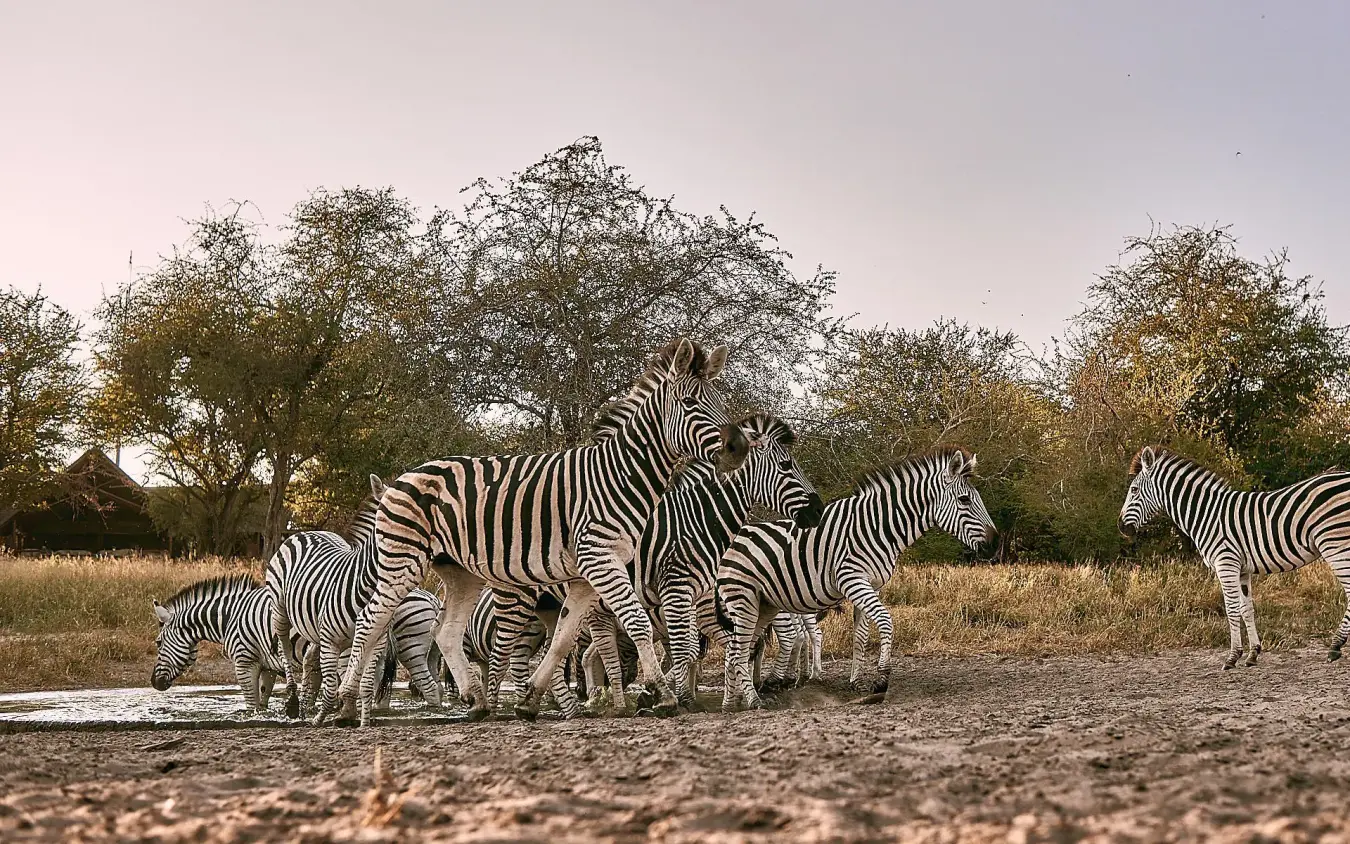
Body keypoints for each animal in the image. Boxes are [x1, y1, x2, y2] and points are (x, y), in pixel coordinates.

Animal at [151, 574, 286, 712]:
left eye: (158, 643)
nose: (153, 682)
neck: (231, 616)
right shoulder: (268, 667)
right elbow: (263, 702)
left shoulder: (245, 663)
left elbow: (251, 707)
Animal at [267, 474, 445, 724]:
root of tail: (307, 533)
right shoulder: (332, 641)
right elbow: (332, 687)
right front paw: (323, 718)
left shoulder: (375, 642)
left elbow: (365, 685)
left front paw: (359, 719)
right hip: (280, 609)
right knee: (284, 646)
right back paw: (293, 702)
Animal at [337, 338, 751, 725]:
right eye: (690, 402)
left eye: (719, 400)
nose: (739, 447)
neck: (620, 475)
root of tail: (403, 477)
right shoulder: (598, 557)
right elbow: (637, 622)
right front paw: (662, 695)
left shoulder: (587, 574)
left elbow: (563, 640)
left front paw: (530, 699)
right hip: (403, 560)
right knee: (369, 621)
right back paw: (344, 705)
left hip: (460, 572)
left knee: (446, 631)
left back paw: (475, 702)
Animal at [716, 446, 996, 711]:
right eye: (964, 500)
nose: (994, 545)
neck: (877, 527)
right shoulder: (852, 580)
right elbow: (885, 620)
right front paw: (881, 680)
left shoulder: (871, 584)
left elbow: (860, 635)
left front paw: (857, 682)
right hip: (743, 599)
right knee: (739, 649)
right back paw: (753, 700)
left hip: (764, 605)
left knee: (736, 649)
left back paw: (731, 704)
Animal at [1119, 445, 1350, 669]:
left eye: (1134, 490)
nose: (1121, 527)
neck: (1206, 514)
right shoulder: (1242, 570)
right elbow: (1246, 609)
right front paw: (1253, 654)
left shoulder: (1226, 563)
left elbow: (1230, 610)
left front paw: (1232, 657)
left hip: (1335, 544)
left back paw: (1335, 646)